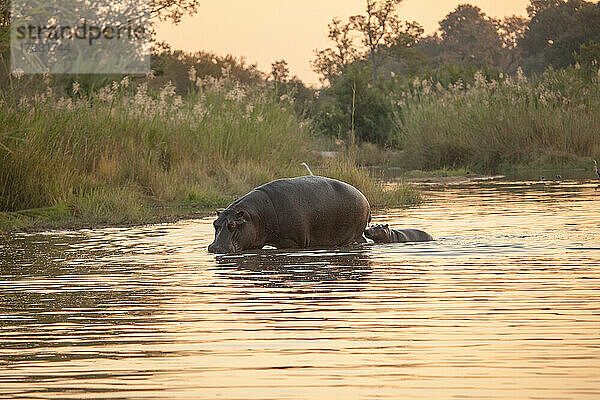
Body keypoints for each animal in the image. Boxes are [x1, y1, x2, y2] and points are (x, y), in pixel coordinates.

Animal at [210, 176, 370, 253]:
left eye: (232, 225)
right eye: (214, 224)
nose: (214, 248)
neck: (253, 217)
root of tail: (365, 199)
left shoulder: (292, 241)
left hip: (351, 236)